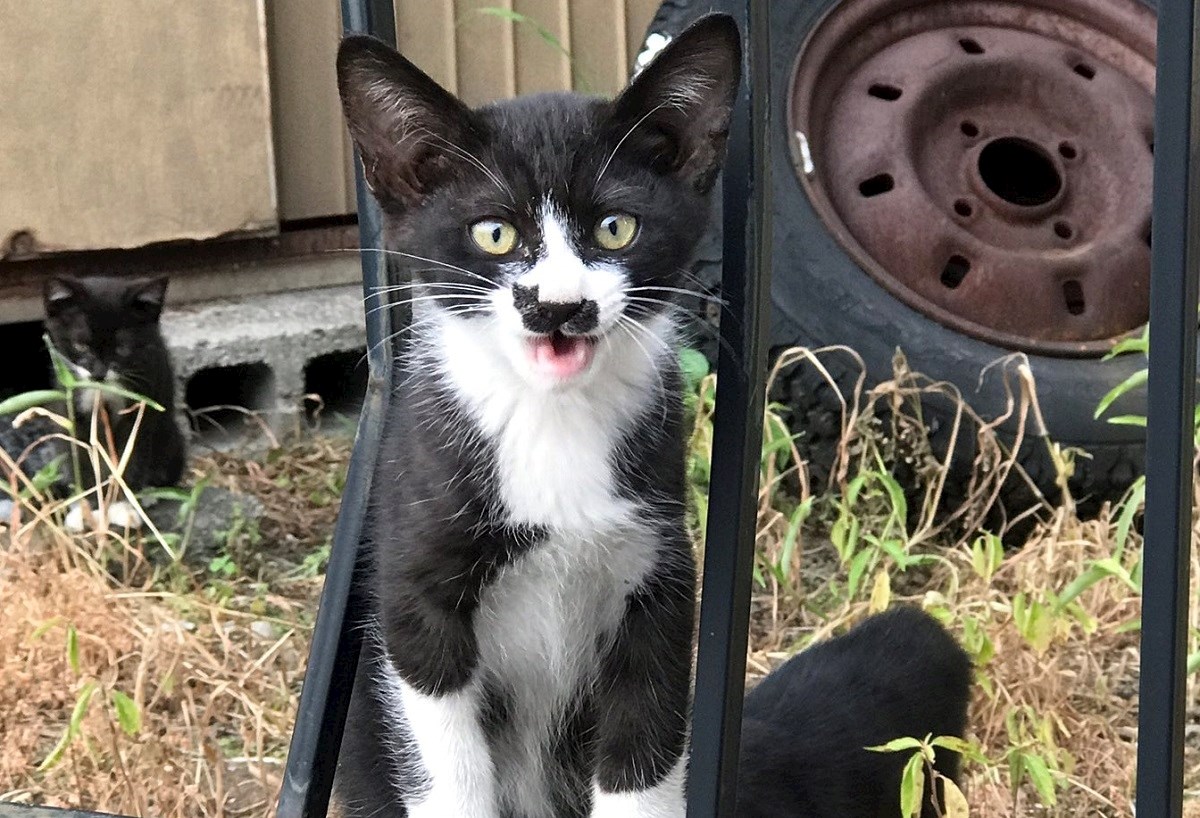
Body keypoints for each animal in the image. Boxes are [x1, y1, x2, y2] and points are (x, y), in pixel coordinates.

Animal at [42, 273, 186, 527]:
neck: (103, 390)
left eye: (122, 348)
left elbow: (132, 455)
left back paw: (148, 494)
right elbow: (82, 455)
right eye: (80, 345)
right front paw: (87, 510)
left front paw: (122, 507)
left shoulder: (144, 402)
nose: (98, 373)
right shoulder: (72, 407)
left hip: (171, 439)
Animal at [331, 12, 739, 815]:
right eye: (495, 233)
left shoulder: (659, 584)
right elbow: (449, 771)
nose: (559, 306)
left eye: (615, 228)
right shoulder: (414, 594)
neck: (549, 418)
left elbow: (642, 760)